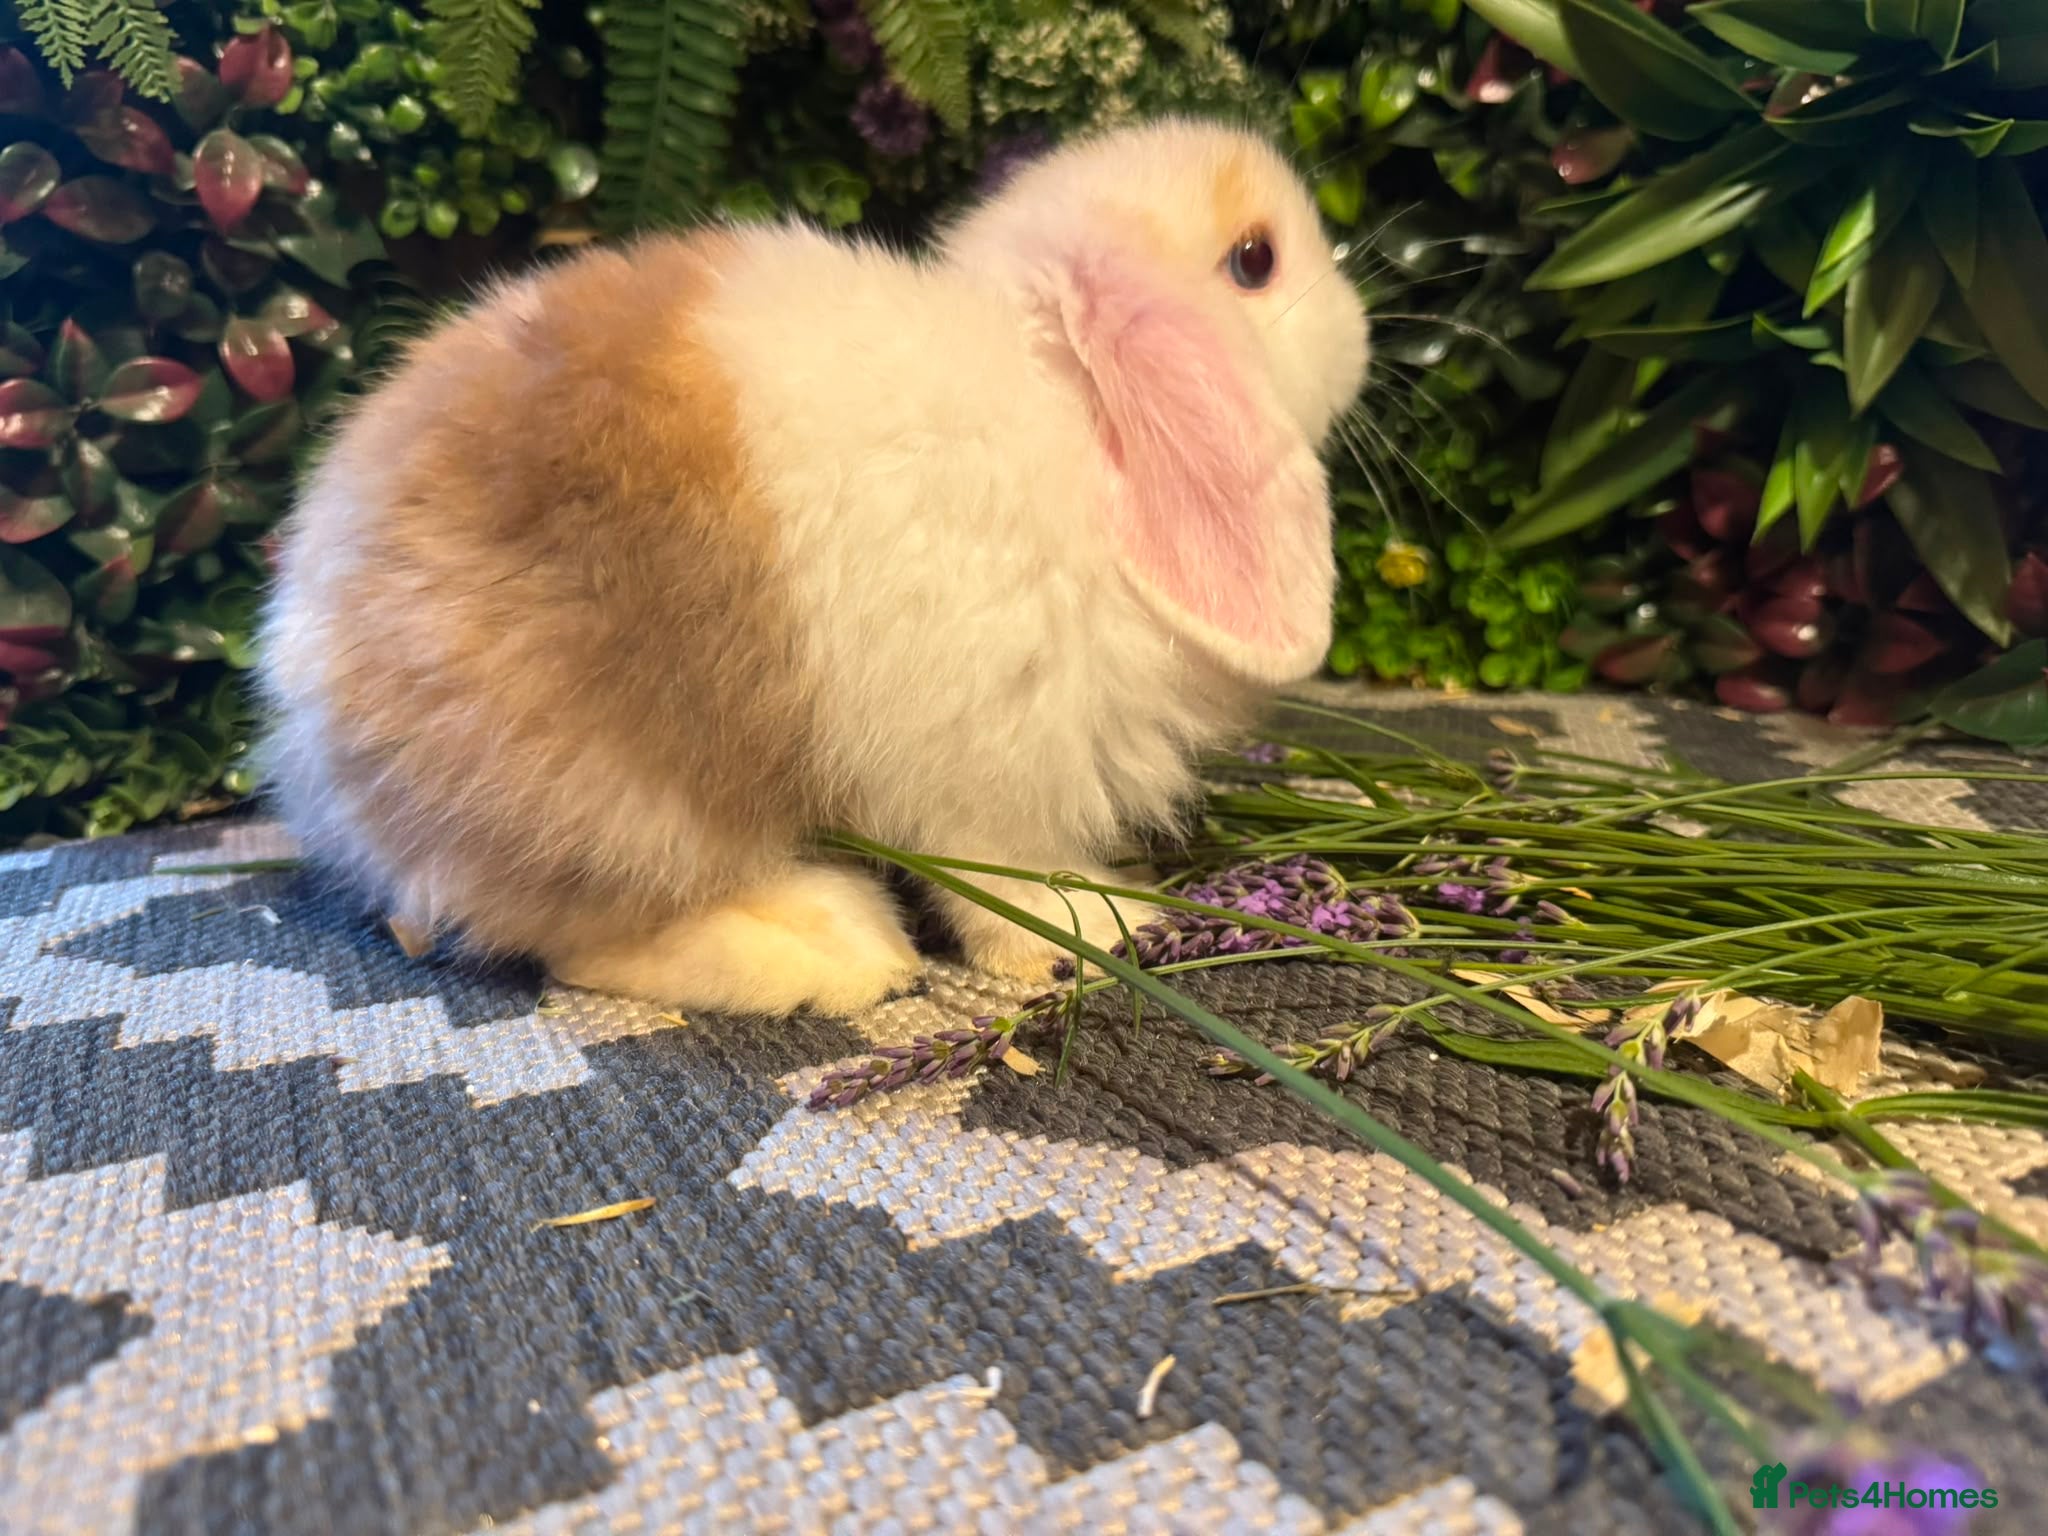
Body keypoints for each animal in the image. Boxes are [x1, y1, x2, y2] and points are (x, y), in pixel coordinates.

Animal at [253, 115, 1370, 1018]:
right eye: (1255, 258)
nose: (1360, 322)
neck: (1073, 417)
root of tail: (309, 733)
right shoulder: (989, 761)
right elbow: (1007, 880)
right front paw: (1105, 928)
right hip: (608, 798)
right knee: (575, 935)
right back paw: (833, 949)